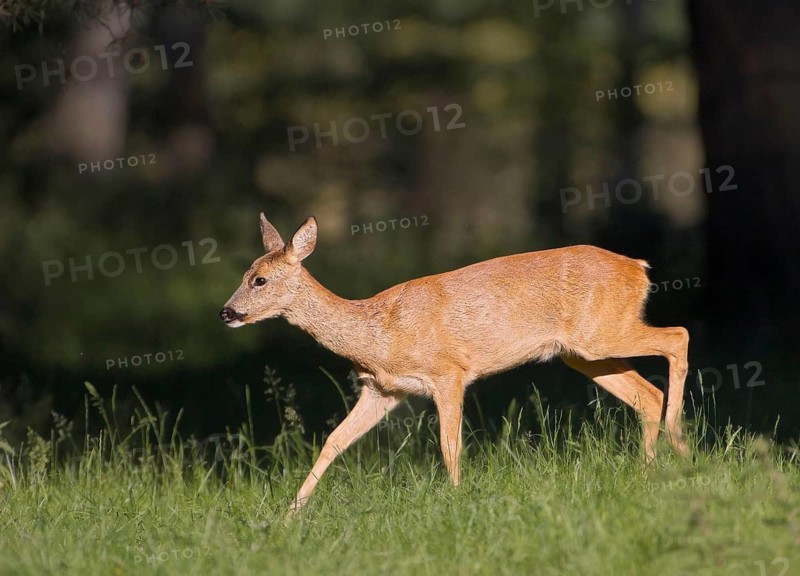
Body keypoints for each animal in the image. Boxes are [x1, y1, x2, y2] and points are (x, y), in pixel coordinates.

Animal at [220, 214, 690, 517]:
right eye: (244, 273)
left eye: (259, 280)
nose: (226, 312)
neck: (378, 332)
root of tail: (639, 268)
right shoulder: (384, 390)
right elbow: (333, 441)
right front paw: (289, 517)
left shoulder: (448, 374)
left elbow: (450, 444)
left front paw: (457, 500)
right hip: (582, 352)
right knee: (647, 393)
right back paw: (653, 471)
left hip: (601, 333)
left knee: (678, 336)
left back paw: (679, 445)